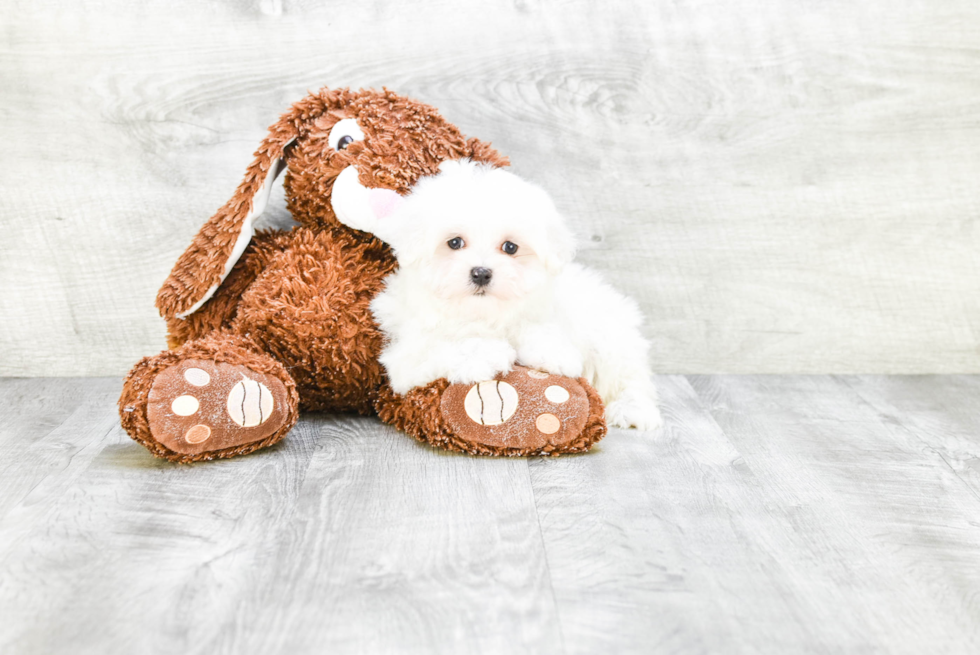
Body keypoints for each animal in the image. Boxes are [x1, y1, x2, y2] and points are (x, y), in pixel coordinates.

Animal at [372, 161, 664, 434]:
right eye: (454, 242)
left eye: (510, 247)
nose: (481, 273)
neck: (484, 314)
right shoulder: (407, 354)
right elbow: (443, 345)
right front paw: (486, 353)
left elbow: (539, 328)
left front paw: (553, 353)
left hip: (610, 339)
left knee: (631, 378)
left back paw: (633, 409)